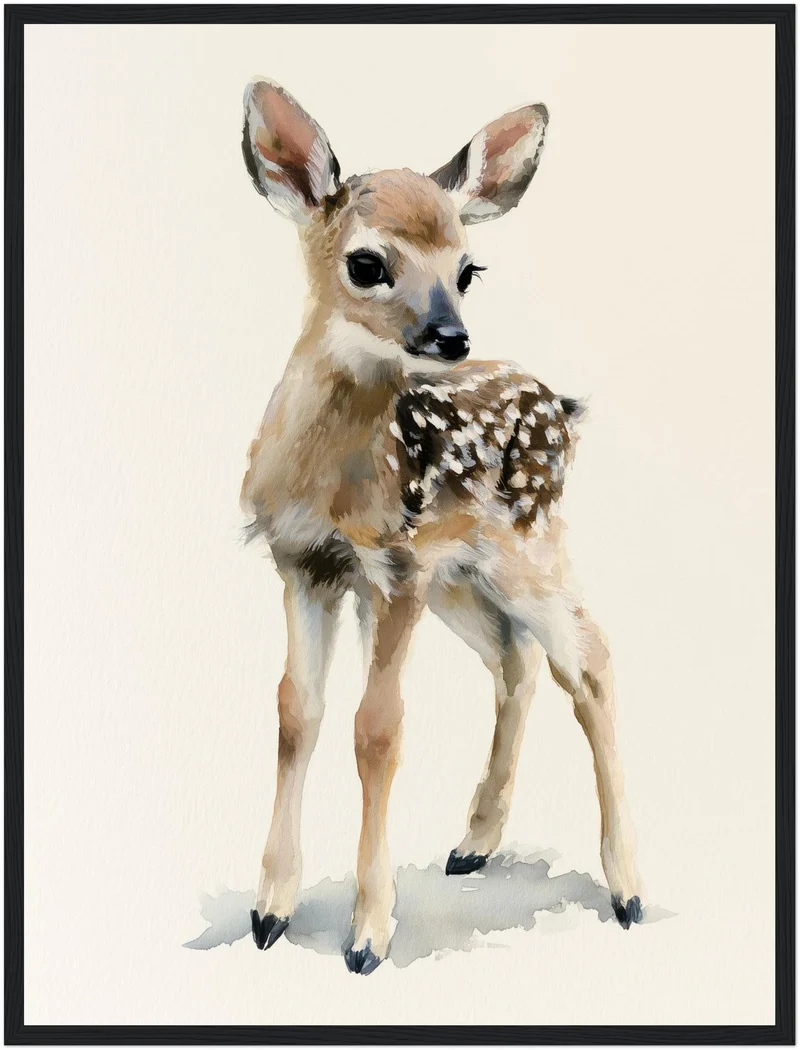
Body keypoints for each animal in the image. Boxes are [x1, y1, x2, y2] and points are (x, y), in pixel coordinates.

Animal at [240, 78, 644, 975]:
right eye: (367, 262)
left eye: (468, 268)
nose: (450, 336)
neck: (331, 480)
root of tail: (560, 406)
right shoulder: (304, 565)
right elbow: (295, 713)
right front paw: (269, 911)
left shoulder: (392, 569)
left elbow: (377, 729)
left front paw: (368, 935)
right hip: (460, 578)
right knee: (514, 661)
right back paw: (474, 841)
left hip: (525, 548)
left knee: (590, 660)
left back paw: (629, 889)